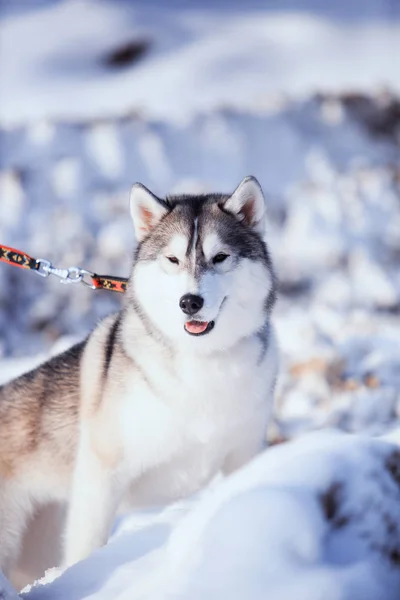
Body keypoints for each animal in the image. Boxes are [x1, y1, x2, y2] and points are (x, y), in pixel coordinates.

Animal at [0, 177, 278, 576]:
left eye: (220, 257)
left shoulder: (245, 452)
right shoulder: (101, 474)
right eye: (172, 260)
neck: (200, 360)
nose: (189, 302)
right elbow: (87, 546)